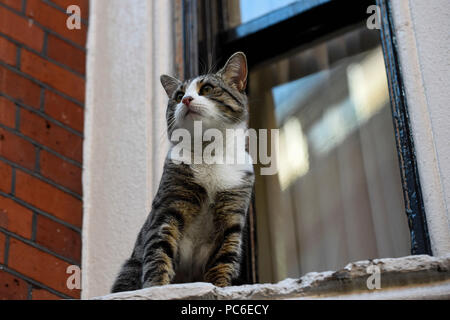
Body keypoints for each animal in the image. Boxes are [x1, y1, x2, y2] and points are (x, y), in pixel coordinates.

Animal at [111, 50, 255, 292]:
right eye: (178, 95)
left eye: (206, 89)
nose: (187, 99)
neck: (209, 154)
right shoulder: (169, 207)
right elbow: (159, 252)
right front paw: (156, 288)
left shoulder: (232, 216)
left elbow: (223, 260)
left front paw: (220, 287)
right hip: (130, 267)